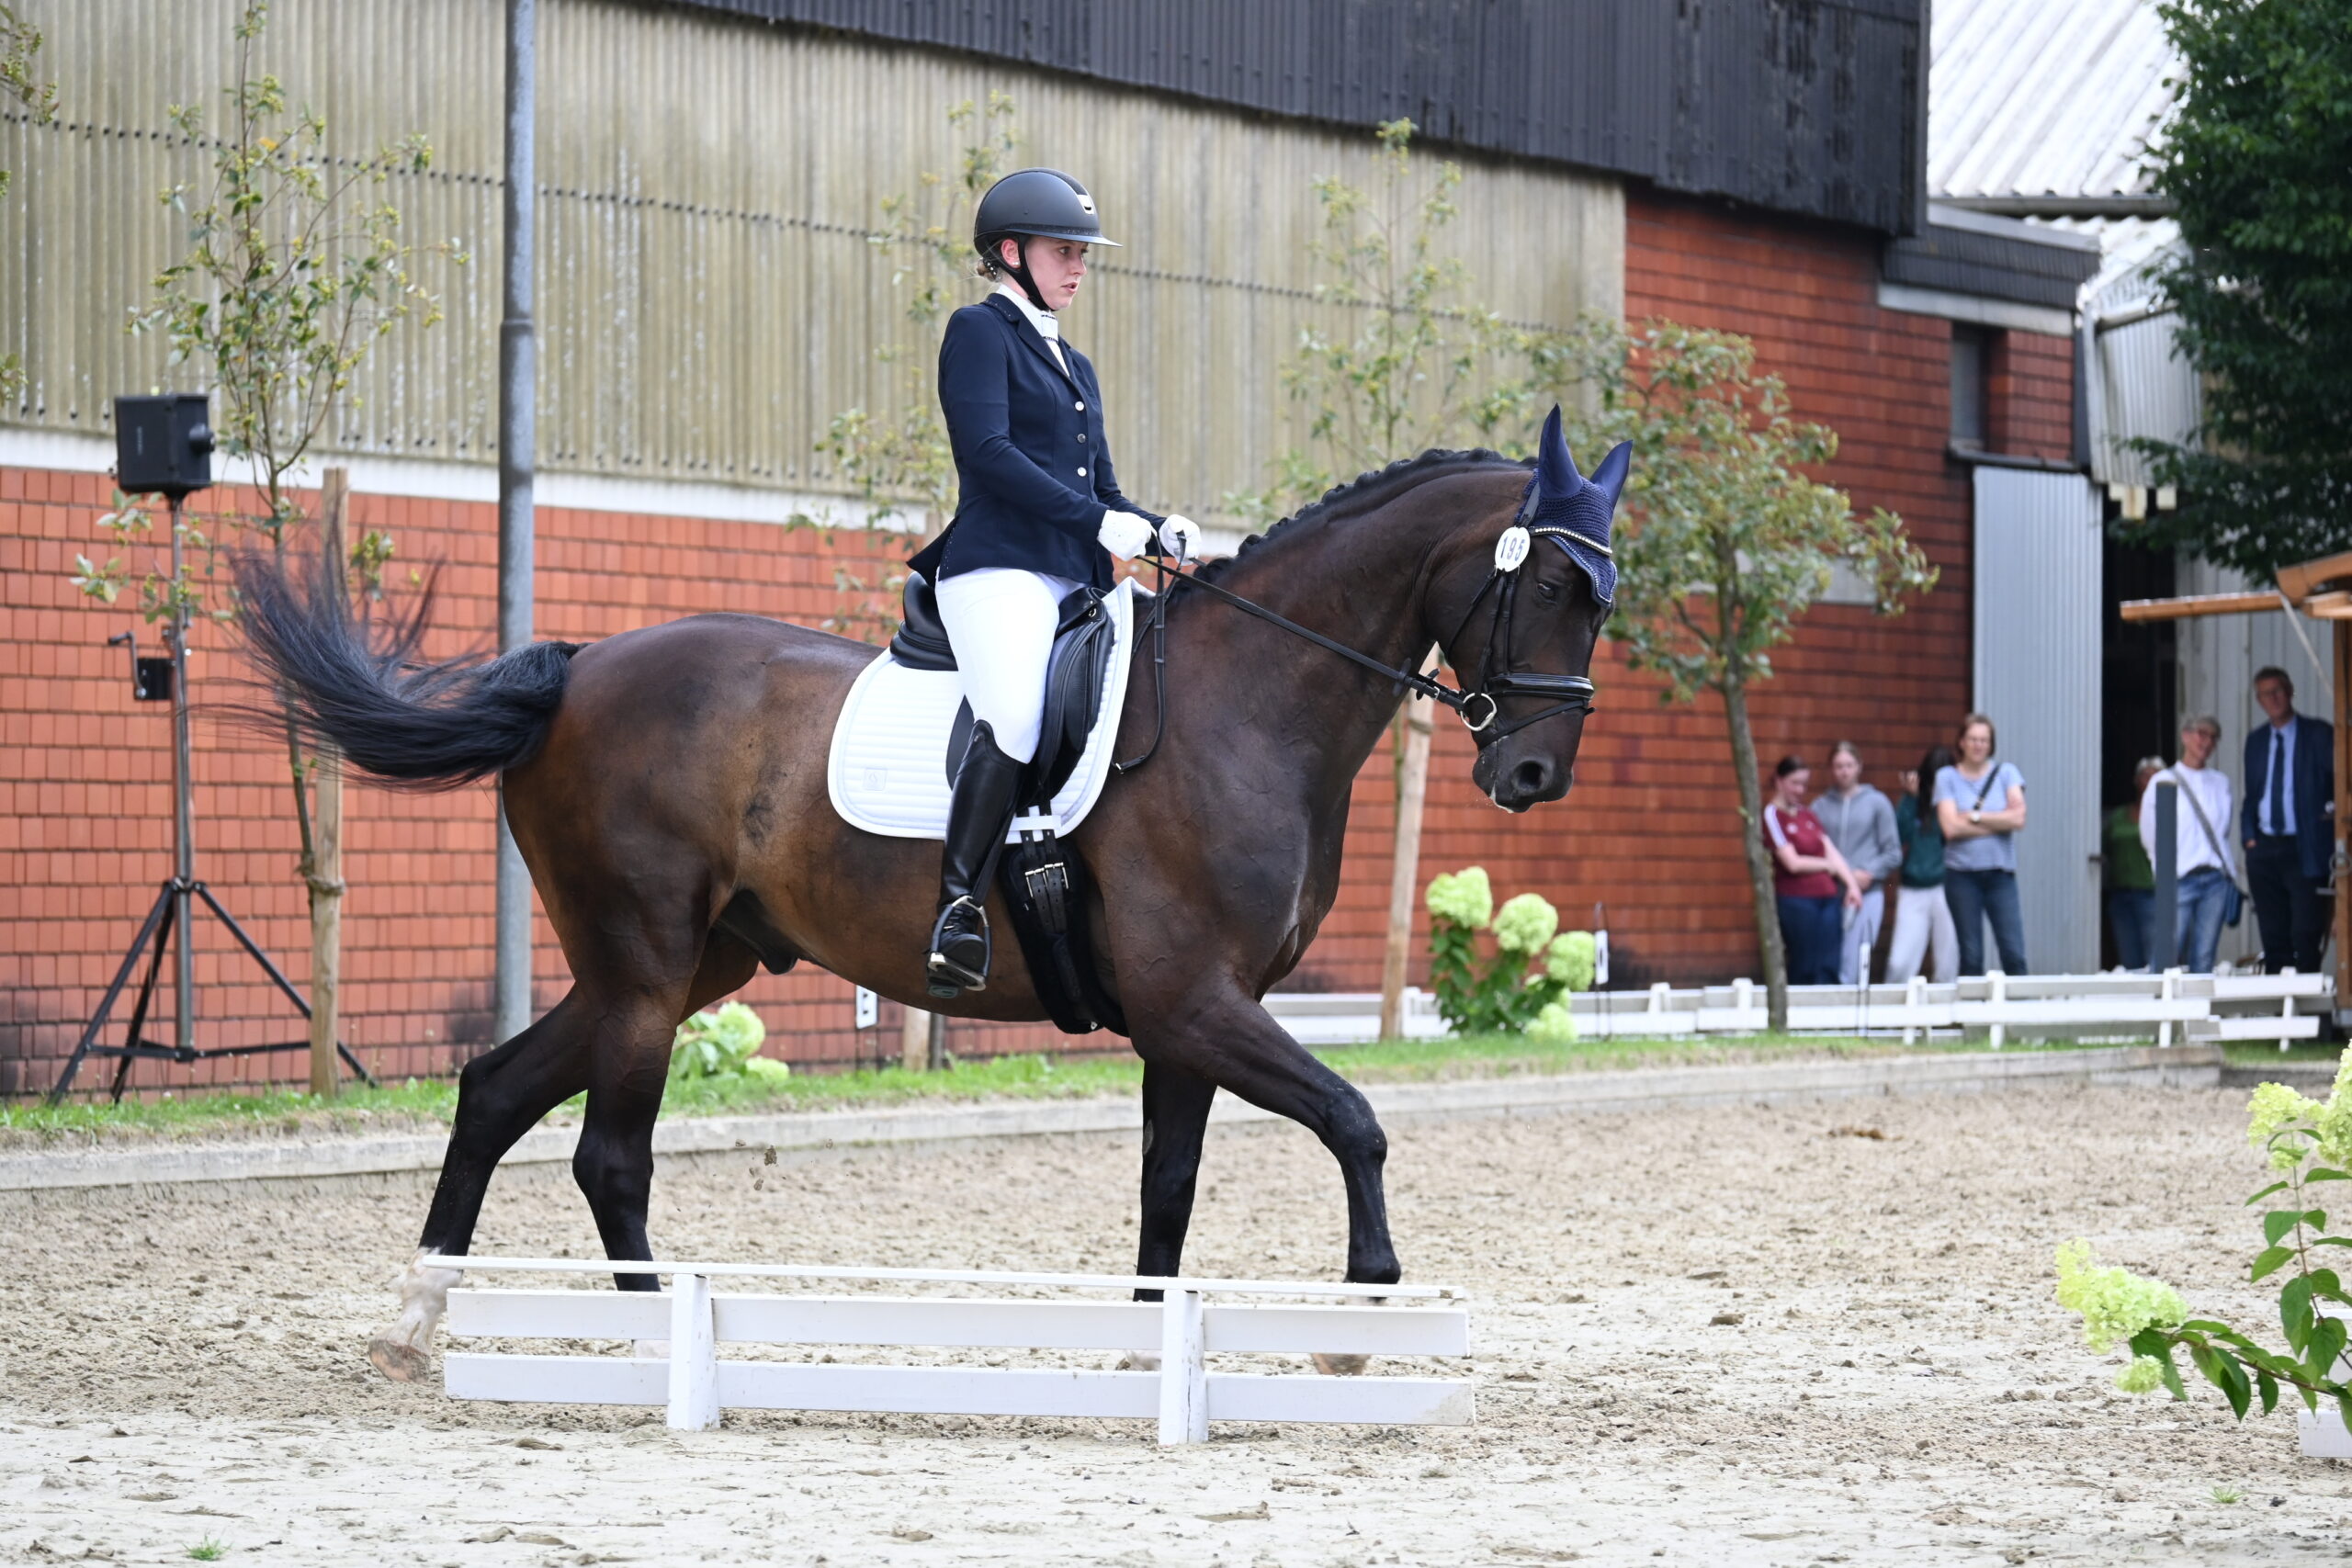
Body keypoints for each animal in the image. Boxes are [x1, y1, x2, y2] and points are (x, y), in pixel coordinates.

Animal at [238, 411, 1627, 1382]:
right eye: (1556, 585)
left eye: (1604, 598)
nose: (1533, 775)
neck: (1248, 703)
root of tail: (576, 668)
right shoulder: (1197, 1000)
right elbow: (1355, 1121)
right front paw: (1365, 1314)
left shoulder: (1186, 1019)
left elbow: (1168, 1188)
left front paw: (1149, 1347)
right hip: (645, 964)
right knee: (607, 1153)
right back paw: (653, 1348)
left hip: (686, 965)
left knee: (495, 1093)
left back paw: (417, 1324)